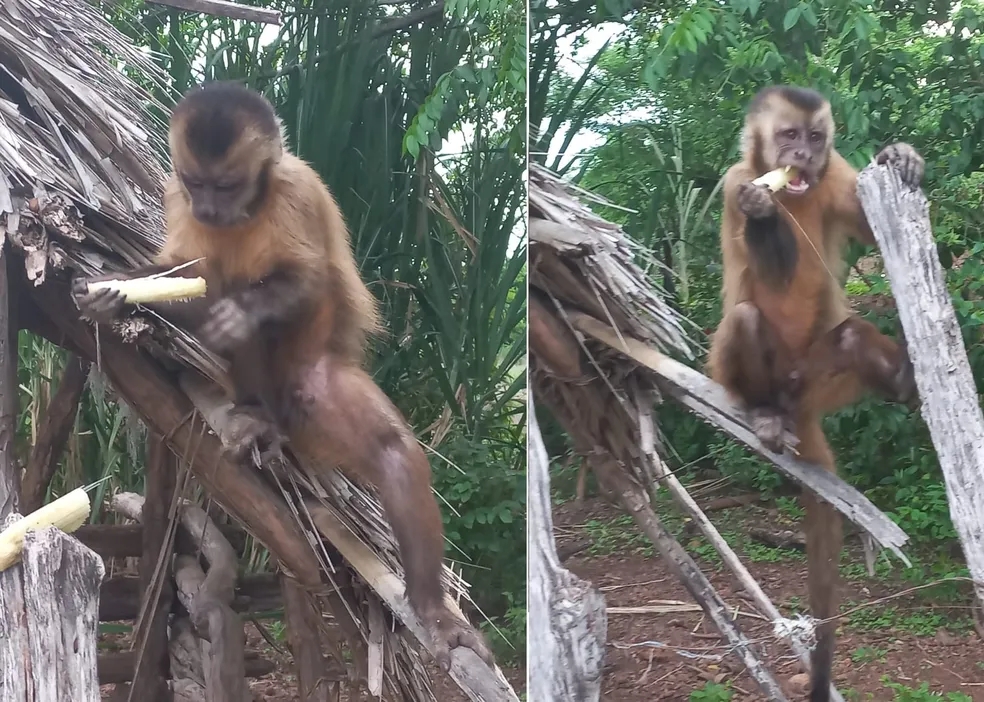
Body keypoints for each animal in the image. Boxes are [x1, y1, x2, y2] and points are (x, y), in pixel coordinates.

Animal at [71, 81, 493, 672]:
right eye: (196, 183)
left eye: (226, 185)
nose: (207, 206)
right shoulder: (175, 195)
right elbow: (186, 275)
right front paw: (114, 293)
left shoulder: (296, 187)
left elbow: (305, 277)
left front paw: (244, 309)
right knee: (219, 288)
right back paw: (256, 414)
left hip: (317, 389)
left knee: (387, 446)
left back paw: (433, 610)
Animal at [706, 85, 923, 701]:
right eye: (788, 136)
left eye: (816, 137)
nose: (801, 157)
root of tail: (795, 404)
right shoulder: (733, 181)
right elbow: (763, 256)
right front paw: (761, 208)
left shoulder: (839, 172)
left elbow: (874, 231)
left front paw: (901, 156)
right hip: (750, 379)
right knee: (746, 319)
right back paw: (765, 414)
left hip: (819, 385)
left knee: (848, 336)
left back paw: (900, 382)